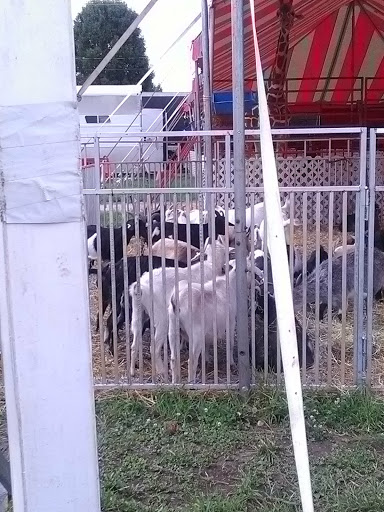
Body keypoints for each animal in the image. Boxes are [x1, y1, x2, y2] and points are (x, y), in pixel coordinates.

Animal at [129, 236, 228, 376]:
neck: (210, 265)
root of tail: (141, 286)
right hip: (162, 318)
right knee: (154, 347)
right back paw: (162, 371)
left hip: (138, 312)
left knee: (134, 342)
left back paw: (132, 371)